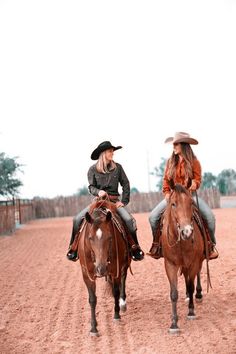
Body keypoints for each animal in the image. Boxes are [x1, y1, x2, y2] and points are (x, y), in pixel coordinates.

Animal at [77, 198, 130, 336]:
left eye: (110, 237)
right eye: (90, 238)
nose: (101, 269)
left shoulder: (115, 270)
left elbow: (116, 291)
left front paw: (116, 315)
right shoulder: (87, 274)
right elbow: (92, 299)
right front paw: (93, 328)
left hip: (125, 264)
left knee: (123, 279)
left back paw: (122, 303)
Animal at [161, 184, 206, 334]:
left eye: (191, 202)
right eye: (173, 204)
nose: (187, 232)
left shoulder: (193, 263)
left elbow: (191, 286)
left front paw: (191, 312)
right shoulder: (170, 265)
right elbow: (174, 293)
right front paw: (174, 323)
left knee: (195, 277)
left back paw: (198, 295)